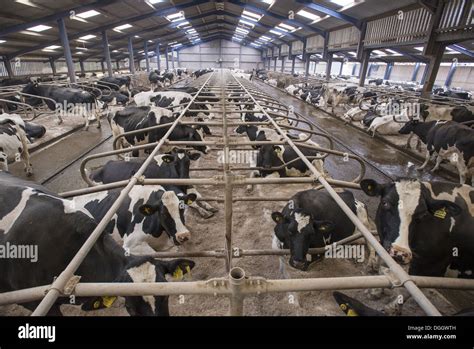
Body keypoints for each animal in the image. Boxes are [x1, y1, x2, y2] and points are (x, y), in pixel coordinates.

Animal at [89, 149, 218, 218]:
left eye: (188, 162)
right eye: (175, 163)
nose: (184, 178)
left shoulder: (189, 184)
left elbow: (198, 196)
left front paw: (209, 206)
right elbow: (191, 201)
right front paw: (204, 211)